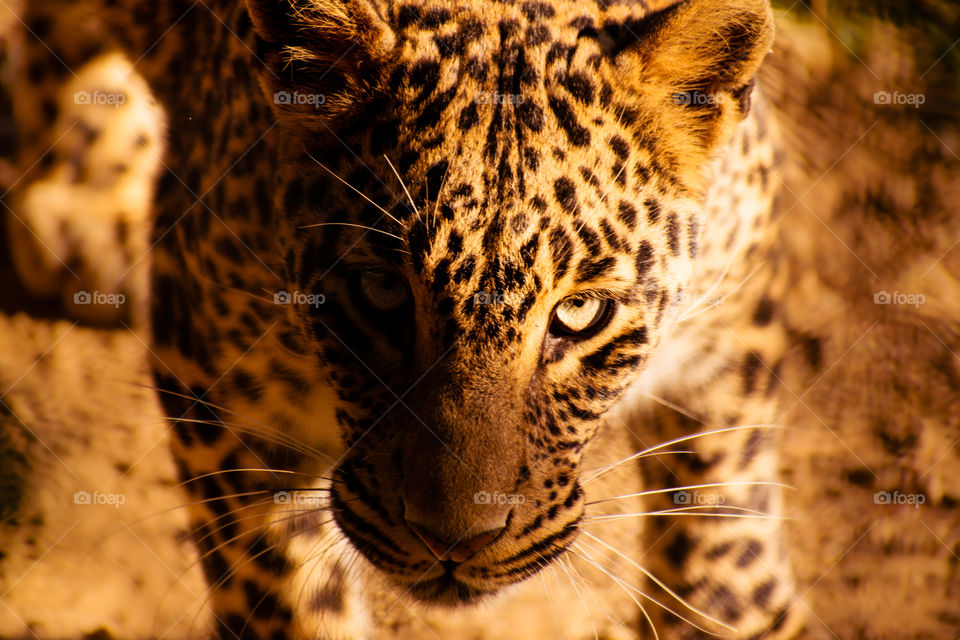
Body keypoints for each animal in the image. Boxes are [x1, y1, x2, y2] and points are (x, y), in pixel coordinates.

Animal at [2, 0, 958, 638]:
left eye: (579, 313)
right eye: (382, 293)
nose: (453, 542)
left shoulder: (737, 314)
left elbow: (729, 547)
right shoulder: (219, 385)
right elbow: (286, 594)